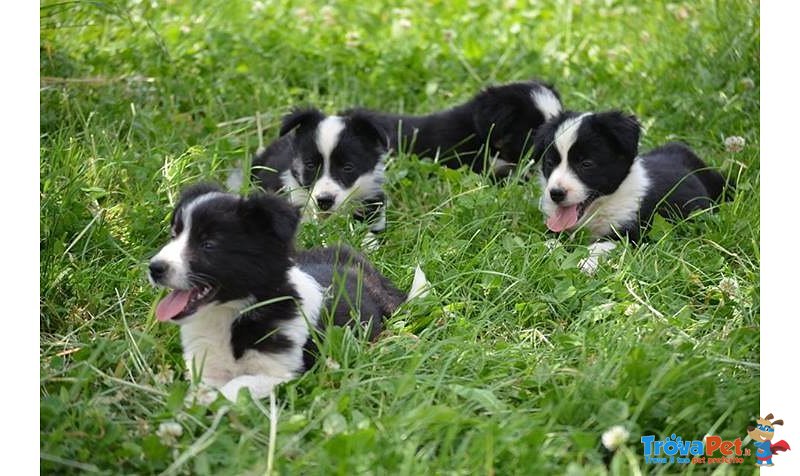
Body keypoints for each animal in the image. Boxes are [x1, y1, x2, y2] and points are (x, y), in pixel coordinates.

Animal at [147, 183, 428, 402]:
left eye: (208, 245)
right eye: (174, 235)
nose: (154, 268)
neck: (229, 315)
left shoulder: (283, 374)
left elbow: (236, 388)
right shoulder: (206, 369)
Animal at [532, 109, 732, 272]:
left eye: (586, 164)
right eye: (550, 163)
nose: (556, 194)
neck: (601, 207)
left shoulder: (635, 232)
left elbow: (603, 245)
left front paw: (587, 263)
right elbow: (549, 240)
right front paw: (544, 252)